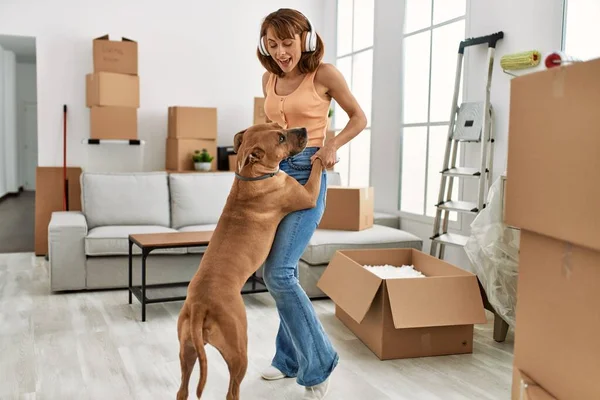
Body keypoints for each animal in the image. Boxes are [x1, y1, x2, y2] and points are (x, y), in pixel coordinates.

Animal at [177, 122, 324, 400]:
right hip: (238, 352)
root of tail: (201, 305)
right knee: (232, 391)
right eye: (280, 137)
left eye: (279, 126)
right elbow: (317, 171)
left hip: (186, 351)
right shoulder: (306, 194)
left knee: (182, 389)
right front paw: (323, 154)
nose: (303, 129)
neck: (252, 174)